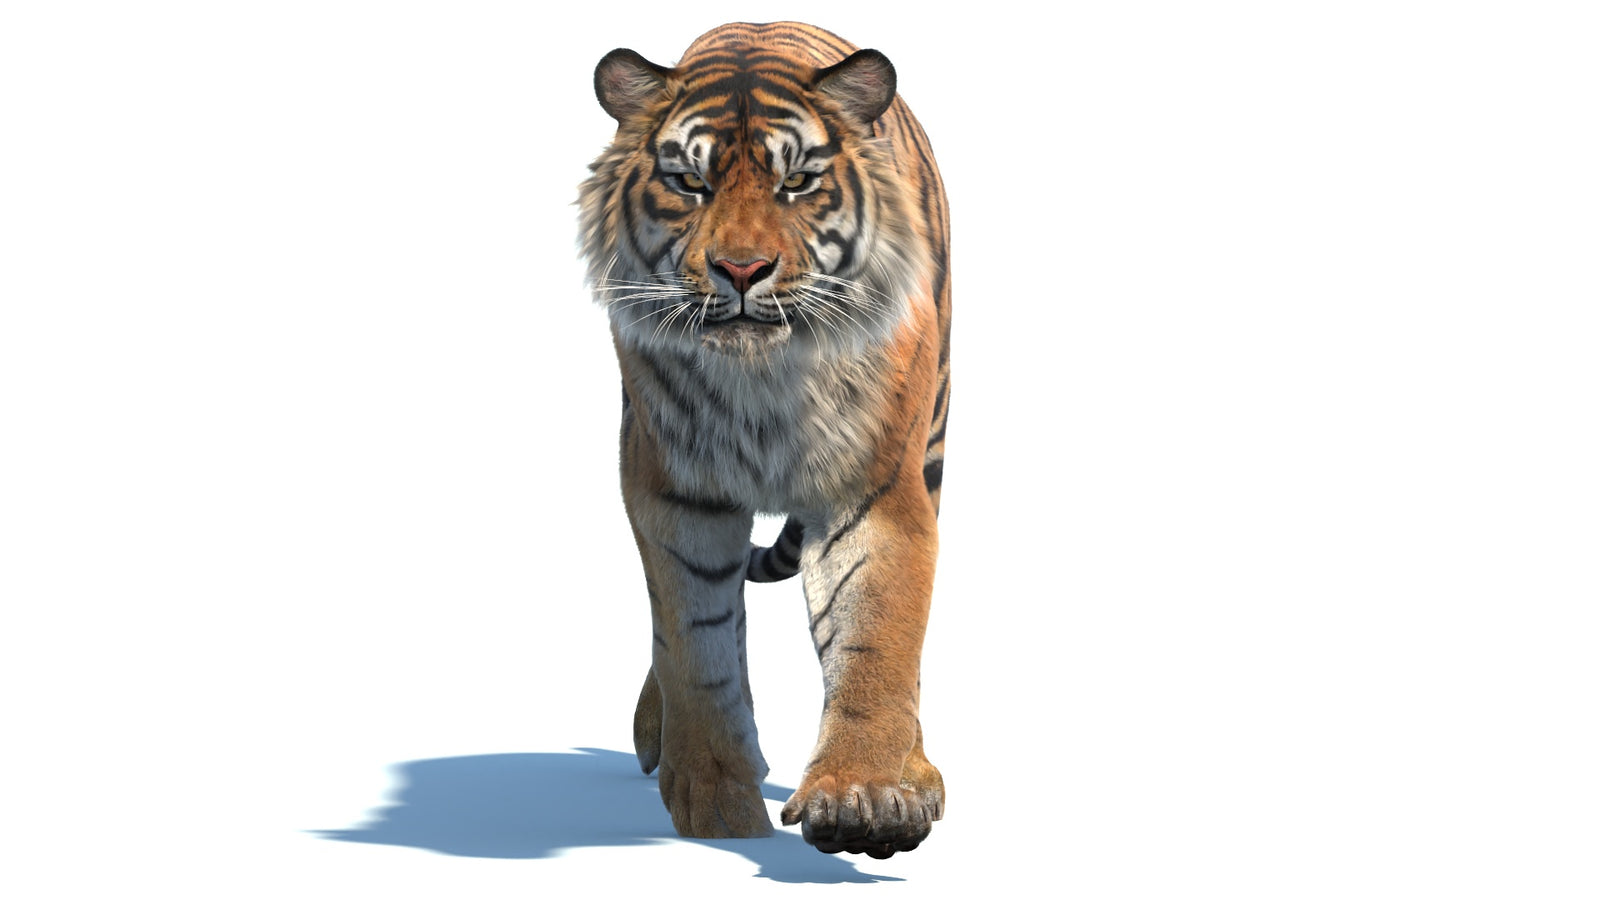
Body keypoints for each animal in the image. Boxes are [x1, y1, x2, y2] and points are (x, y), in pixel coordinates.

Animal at [577, 21, 951, 858]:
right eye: (690, 183)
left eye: (798, 183)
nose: (742, 269)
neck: (764, 381)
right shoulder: (673, 492)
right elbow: (695, 645)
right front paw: (715, 802)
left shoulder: (874, 489)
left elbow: (878, 639)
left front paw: (862, 795)